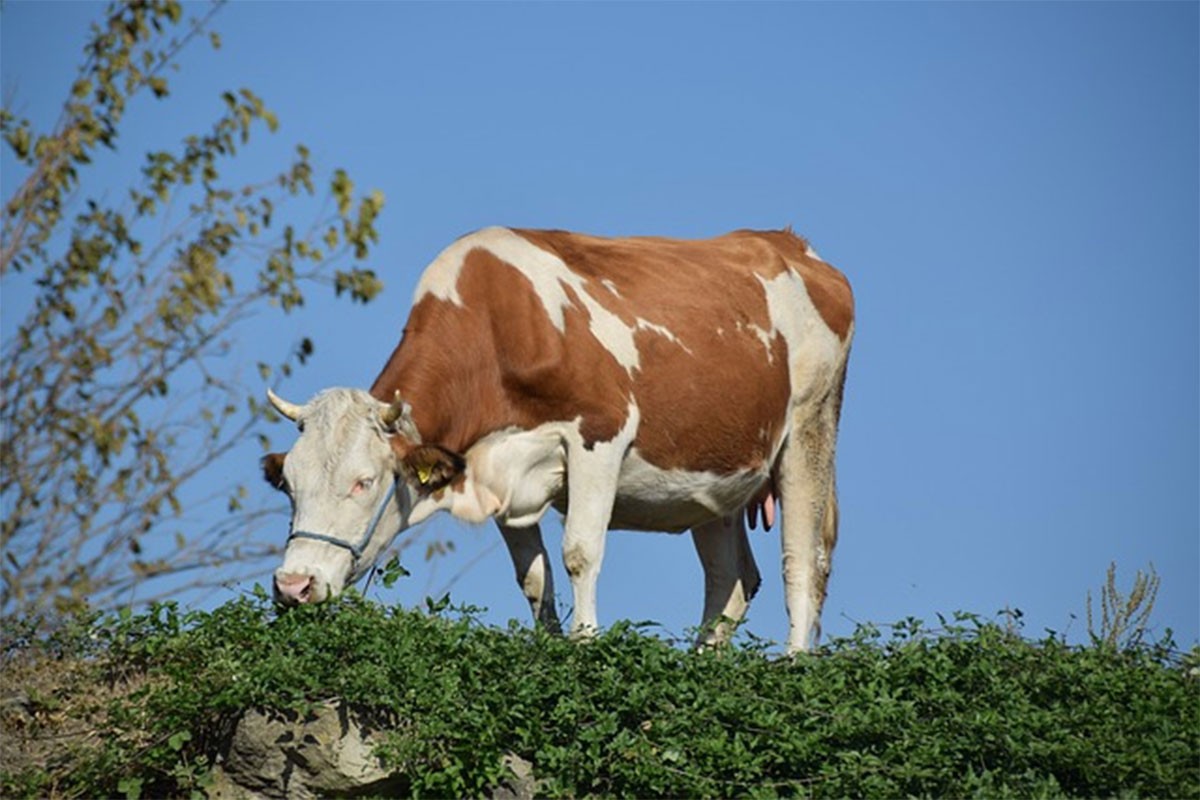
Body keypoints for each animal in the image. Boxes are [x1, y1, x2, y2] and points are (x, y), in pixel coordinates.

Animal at [262, 225, 854, 652]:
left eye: (364, 482)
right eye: (288, 484)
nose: (293, 585)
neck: (498, 329)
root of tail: (788, 243)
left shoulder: (600, 436)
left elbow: (579, 554)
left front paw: (584, 647)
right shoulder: (496, 469)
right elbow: (533, 577)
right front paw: (547, 651)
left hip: (810, 426)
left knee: (803, 561)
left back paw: (795, 663)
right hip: (714, 476)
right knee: (731, 580)